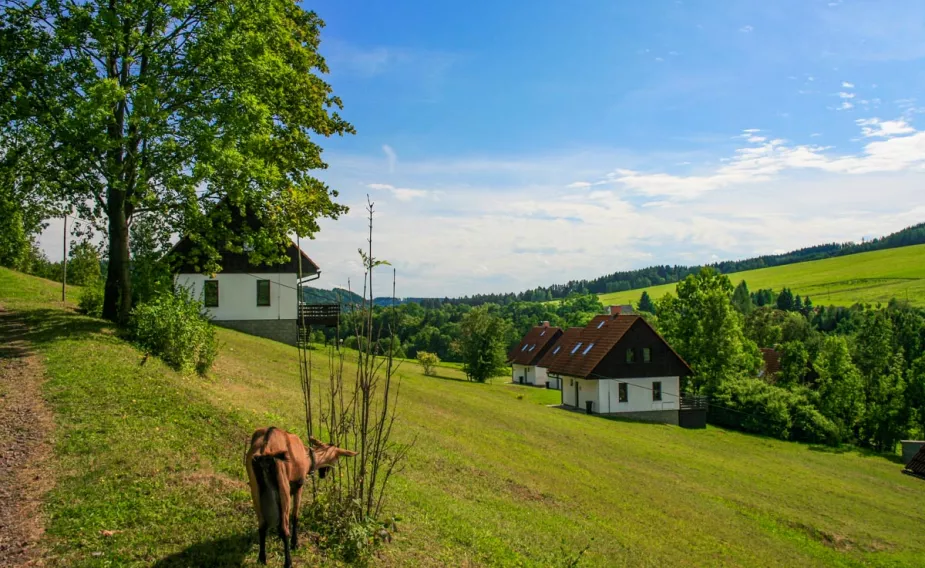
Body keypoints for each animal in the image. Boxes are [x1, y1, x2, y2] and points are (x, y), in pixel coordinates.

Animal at [245, 428, 358, 564]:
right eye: (335, 458)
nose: (323, 474)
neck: (306, 457)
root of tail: (265, 449)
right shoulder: (298, 486)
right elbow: (295, 515)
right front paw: (295, 543)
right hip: (283, 484)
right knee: (284, 528)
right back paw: (288, 562)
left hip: (255, 488)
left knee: (262, 525)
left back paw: (262, 559)